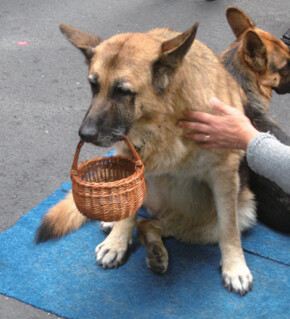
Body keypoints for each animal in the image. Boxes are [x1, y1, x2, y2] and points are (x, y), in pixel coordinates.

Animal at [35, 23, 256, 298]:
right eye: (93, 86)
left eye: (123, 91)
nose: (84, 134)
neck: (166, 117)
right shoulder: (128, 160)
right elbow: (129, 214)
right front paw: (117, 242)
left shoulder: (224, 175)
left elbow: (229, 229)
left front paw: (235, 267)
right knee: (143, 221)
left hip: (227, 217)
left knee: (153, 225)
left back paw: (156, 250)